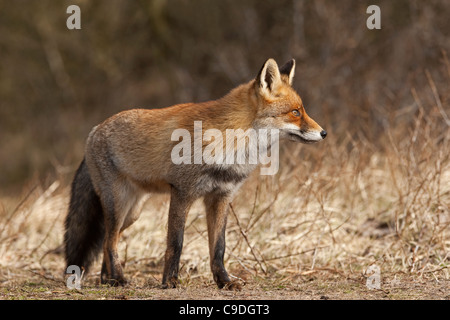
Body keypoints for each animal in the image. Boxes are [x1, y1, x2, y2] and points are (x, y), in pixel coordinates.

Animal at [64, 57, 326, 290]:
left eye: (302, 110)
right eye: (295, 112)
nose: (323, 133)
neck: (230, 140)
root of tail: (95, 130)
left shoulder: (220, 197)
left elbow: (219, 247)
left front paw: (224, 282)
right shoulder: (183, 192)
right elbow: (176, 243)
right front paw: (169, 282)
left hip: (132, 213)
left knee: (109, 240)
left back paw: (107, 279)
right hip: (118, 205)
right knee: (110, 241)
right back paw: (118, 279)